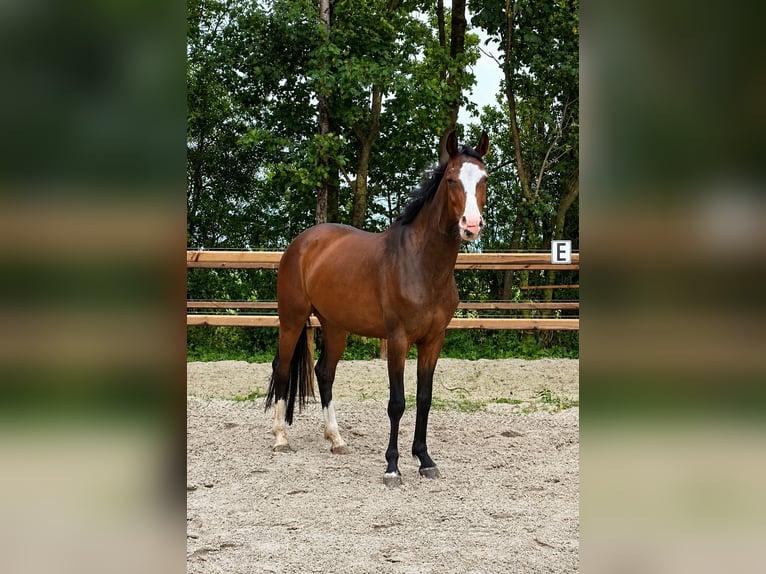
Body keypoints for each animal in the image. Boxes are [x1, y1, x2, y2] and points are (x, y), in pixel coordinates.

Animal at [265, 130, 489, 486]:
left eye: (484, 179)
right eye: (452, 179)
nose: (471, 225)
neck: (422, 265)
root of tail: (302, 243)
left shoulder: (433, 341)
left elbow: (424, 399)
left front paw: (425, 460)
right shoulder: (397, 340)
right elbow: (397, 402)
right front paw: (392, 467)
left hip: (335, 325)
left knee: (324, 373)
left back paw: (336, 439)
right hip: (292, 319)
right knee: (282, 367)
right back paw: (281, 438)